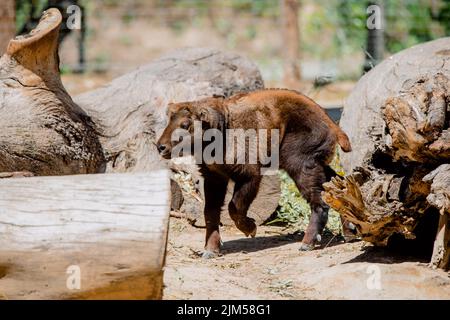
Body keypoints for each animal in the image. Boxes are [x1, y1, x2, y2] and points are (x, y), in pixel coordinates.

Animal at [158, 89, 352, 258]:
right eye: (169, 121)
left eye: (185, 124)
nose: (161, 146)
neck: (223, 128)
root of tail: (332, 124)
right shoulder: (214, 177)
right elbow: (210, 212)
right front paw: (210, 250)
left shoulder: (249, 176)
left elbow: (234, 207)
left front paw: (250, 228)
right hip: (316, 164)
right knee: (336, 186)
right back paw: (349, 231)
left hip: (300, 164)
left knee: (319, 202)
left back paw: (307, 243)